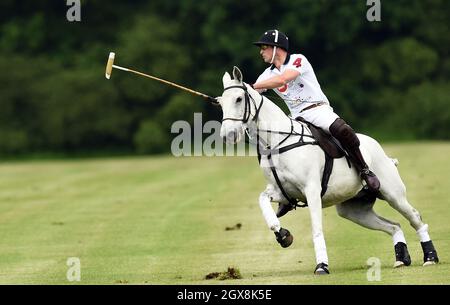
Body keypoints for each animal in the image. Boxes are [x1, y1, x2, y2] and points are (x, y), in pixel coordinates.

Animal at [219, 66, 440, 274]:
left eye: (238, 99)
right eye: (220, 103)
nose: (227, 135)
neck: (276, 142)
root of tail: (382, 151)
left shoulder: (312, 190)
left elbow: (316, 229)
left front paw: (322, 266)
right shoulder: (282, 192)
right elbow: (263, 200)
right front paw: (282, 234)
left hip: (393, 193)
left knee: (415, 218)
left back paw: (430, 257)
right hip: (353, 210)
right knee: (394, 226)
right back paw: (402, 258)